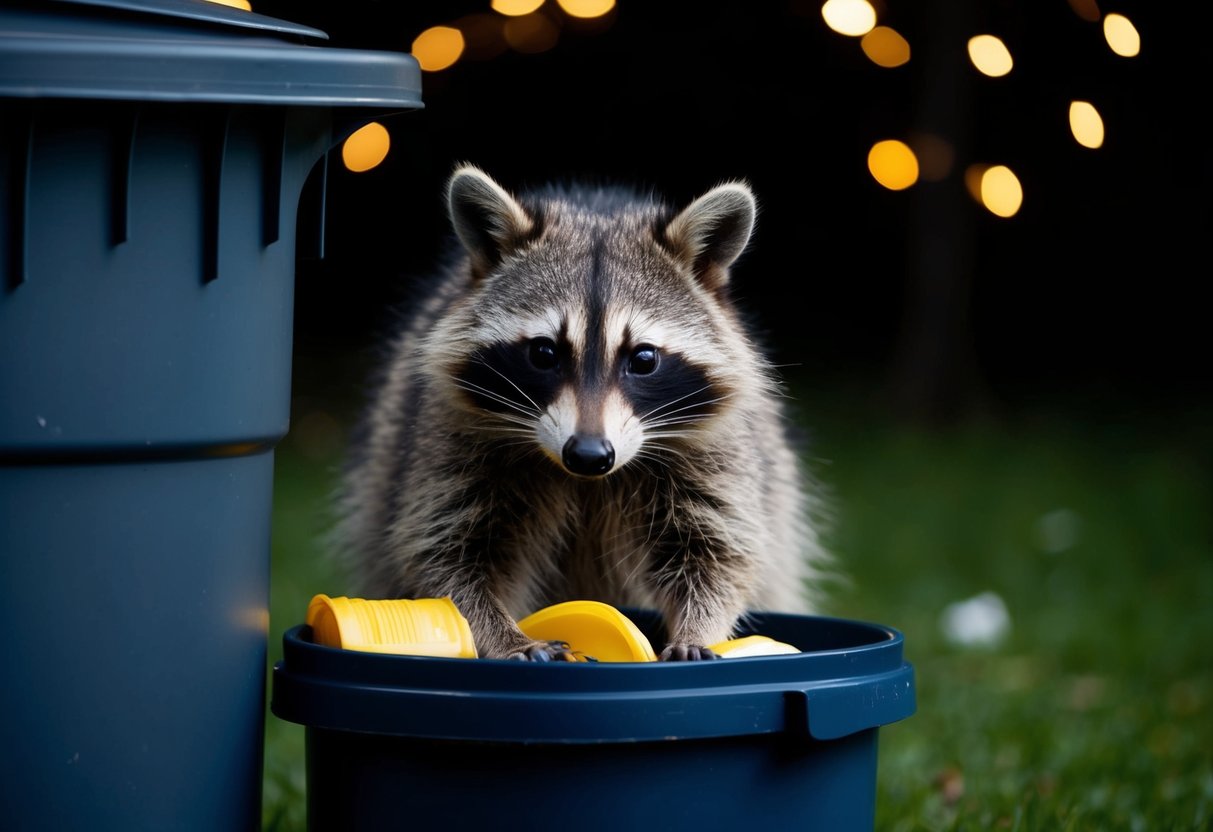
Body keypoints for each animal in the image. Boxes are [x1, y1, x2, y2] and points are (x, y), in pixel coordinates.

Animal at [332, 164, 831, 661]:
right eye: (543, 353)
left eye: (643, 359)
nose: (589, 455)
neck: (587, 482)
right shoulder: (450, 441)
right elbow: (448, 560)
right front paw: (502, 635)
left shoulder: (717, 452)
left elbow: (718, 554)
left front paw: (697, 628)